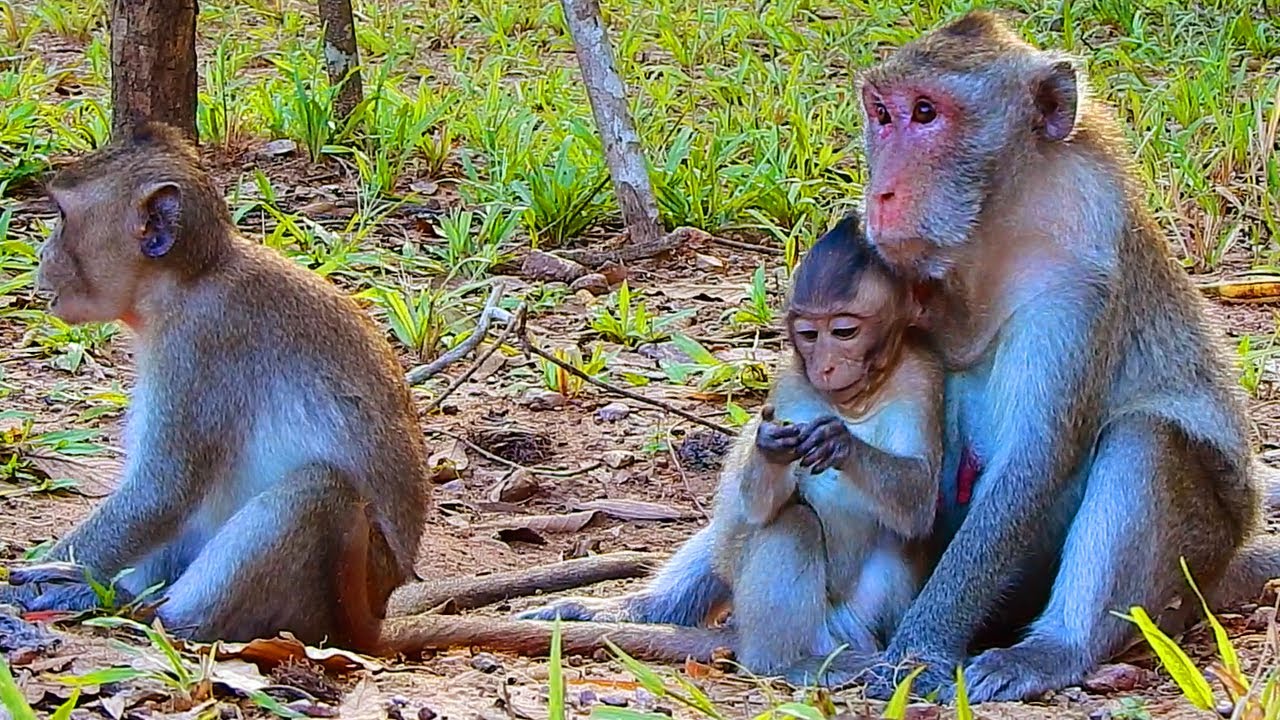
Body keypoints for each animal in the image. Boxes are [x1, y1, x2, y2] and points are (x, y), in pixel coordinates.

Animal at [520, 212, 944, 684]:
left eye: (844, 331)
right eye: (809, 334)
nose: (826, 365)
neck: (854, 401)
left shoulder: (920, 377)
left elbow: (918, 505)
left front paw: (840, 442)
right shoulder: (791, 385)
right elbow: (756, 506)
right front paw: (770, 448)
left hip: (850, 629)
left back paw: (784, 663)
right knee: (773, 521)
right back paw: (644, 613)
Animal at [841, 10, 1280, 703]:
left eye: (926, 113)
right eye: (881, 115)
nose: (879, 194)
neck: (994, 228)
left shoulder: (1075, 274)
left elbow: (1034, 460)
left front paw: (919, 651)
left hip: (1195, 555)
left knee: (1146, 439)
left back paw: (1057, 648)